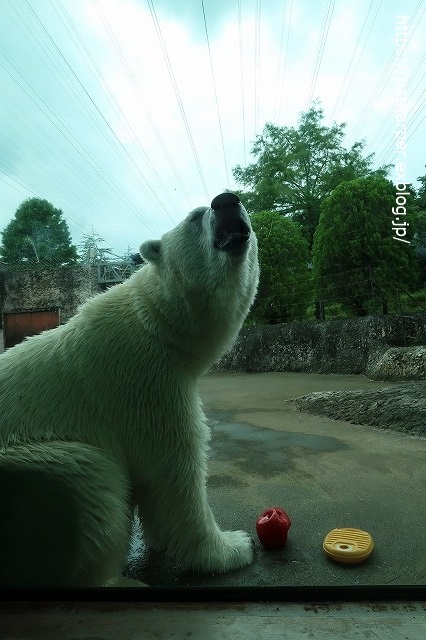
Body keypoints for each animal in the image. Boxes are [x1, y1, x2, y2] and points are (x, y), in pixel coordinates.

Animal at [0, 190, 260, 584]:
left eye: (238, 202)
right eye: (196, 217)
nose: (226, 200)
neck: (155, 323)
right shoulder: (142, 382)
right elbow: (172, 473)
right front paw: (232, 547)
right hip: (27, 465)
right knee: (88, 476)